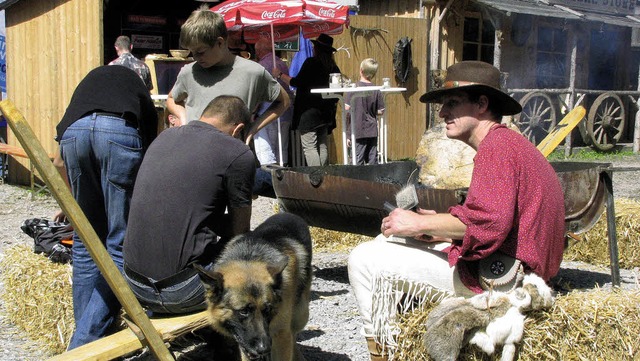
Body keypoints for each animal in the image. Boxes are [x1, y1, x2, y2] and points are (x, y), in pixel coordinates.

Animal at [196, 212, 314, 358]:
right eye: (244, 311)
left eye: (267, 309)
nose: (264, 349)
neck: (249, 257)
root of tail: (287, 213)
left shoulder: (281, 335)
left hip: (301, 314)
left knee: (293, 334)